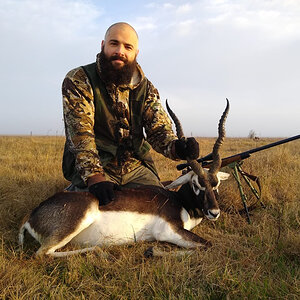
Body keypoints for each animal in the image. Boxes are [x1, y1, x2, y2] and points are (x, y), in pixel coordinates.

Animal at [18, 99, 230, 256]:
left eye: (216, 184)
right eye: (196, 184)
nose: (214, 212)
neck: (180, 202)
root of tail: (32, 214)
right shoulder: (169, 231)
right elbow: (207, 245)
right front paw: (152, 251)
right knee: (42, 254)